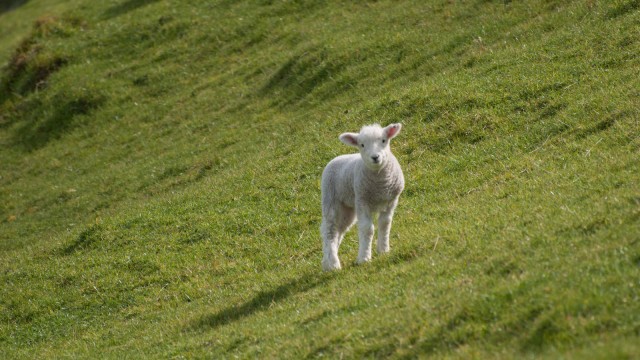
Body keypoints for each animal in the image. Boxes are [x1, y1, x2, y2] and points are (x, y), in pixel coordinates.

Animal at [320, 123, 404, 270]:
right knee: (329, 231)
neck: (380, 184)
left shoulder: (391, 200)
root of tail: (336, 158)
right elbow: (367, 229)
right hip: (330, 200)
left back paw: (327, 263)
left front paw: (383, 250)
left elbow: (385, 223)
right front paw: (364, 258)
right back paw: (334, 264)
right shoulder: (362, 201)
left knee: (339, 230)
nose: (375, 157)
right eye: (362, 145)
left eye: (383, 140)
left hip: (347, 209)